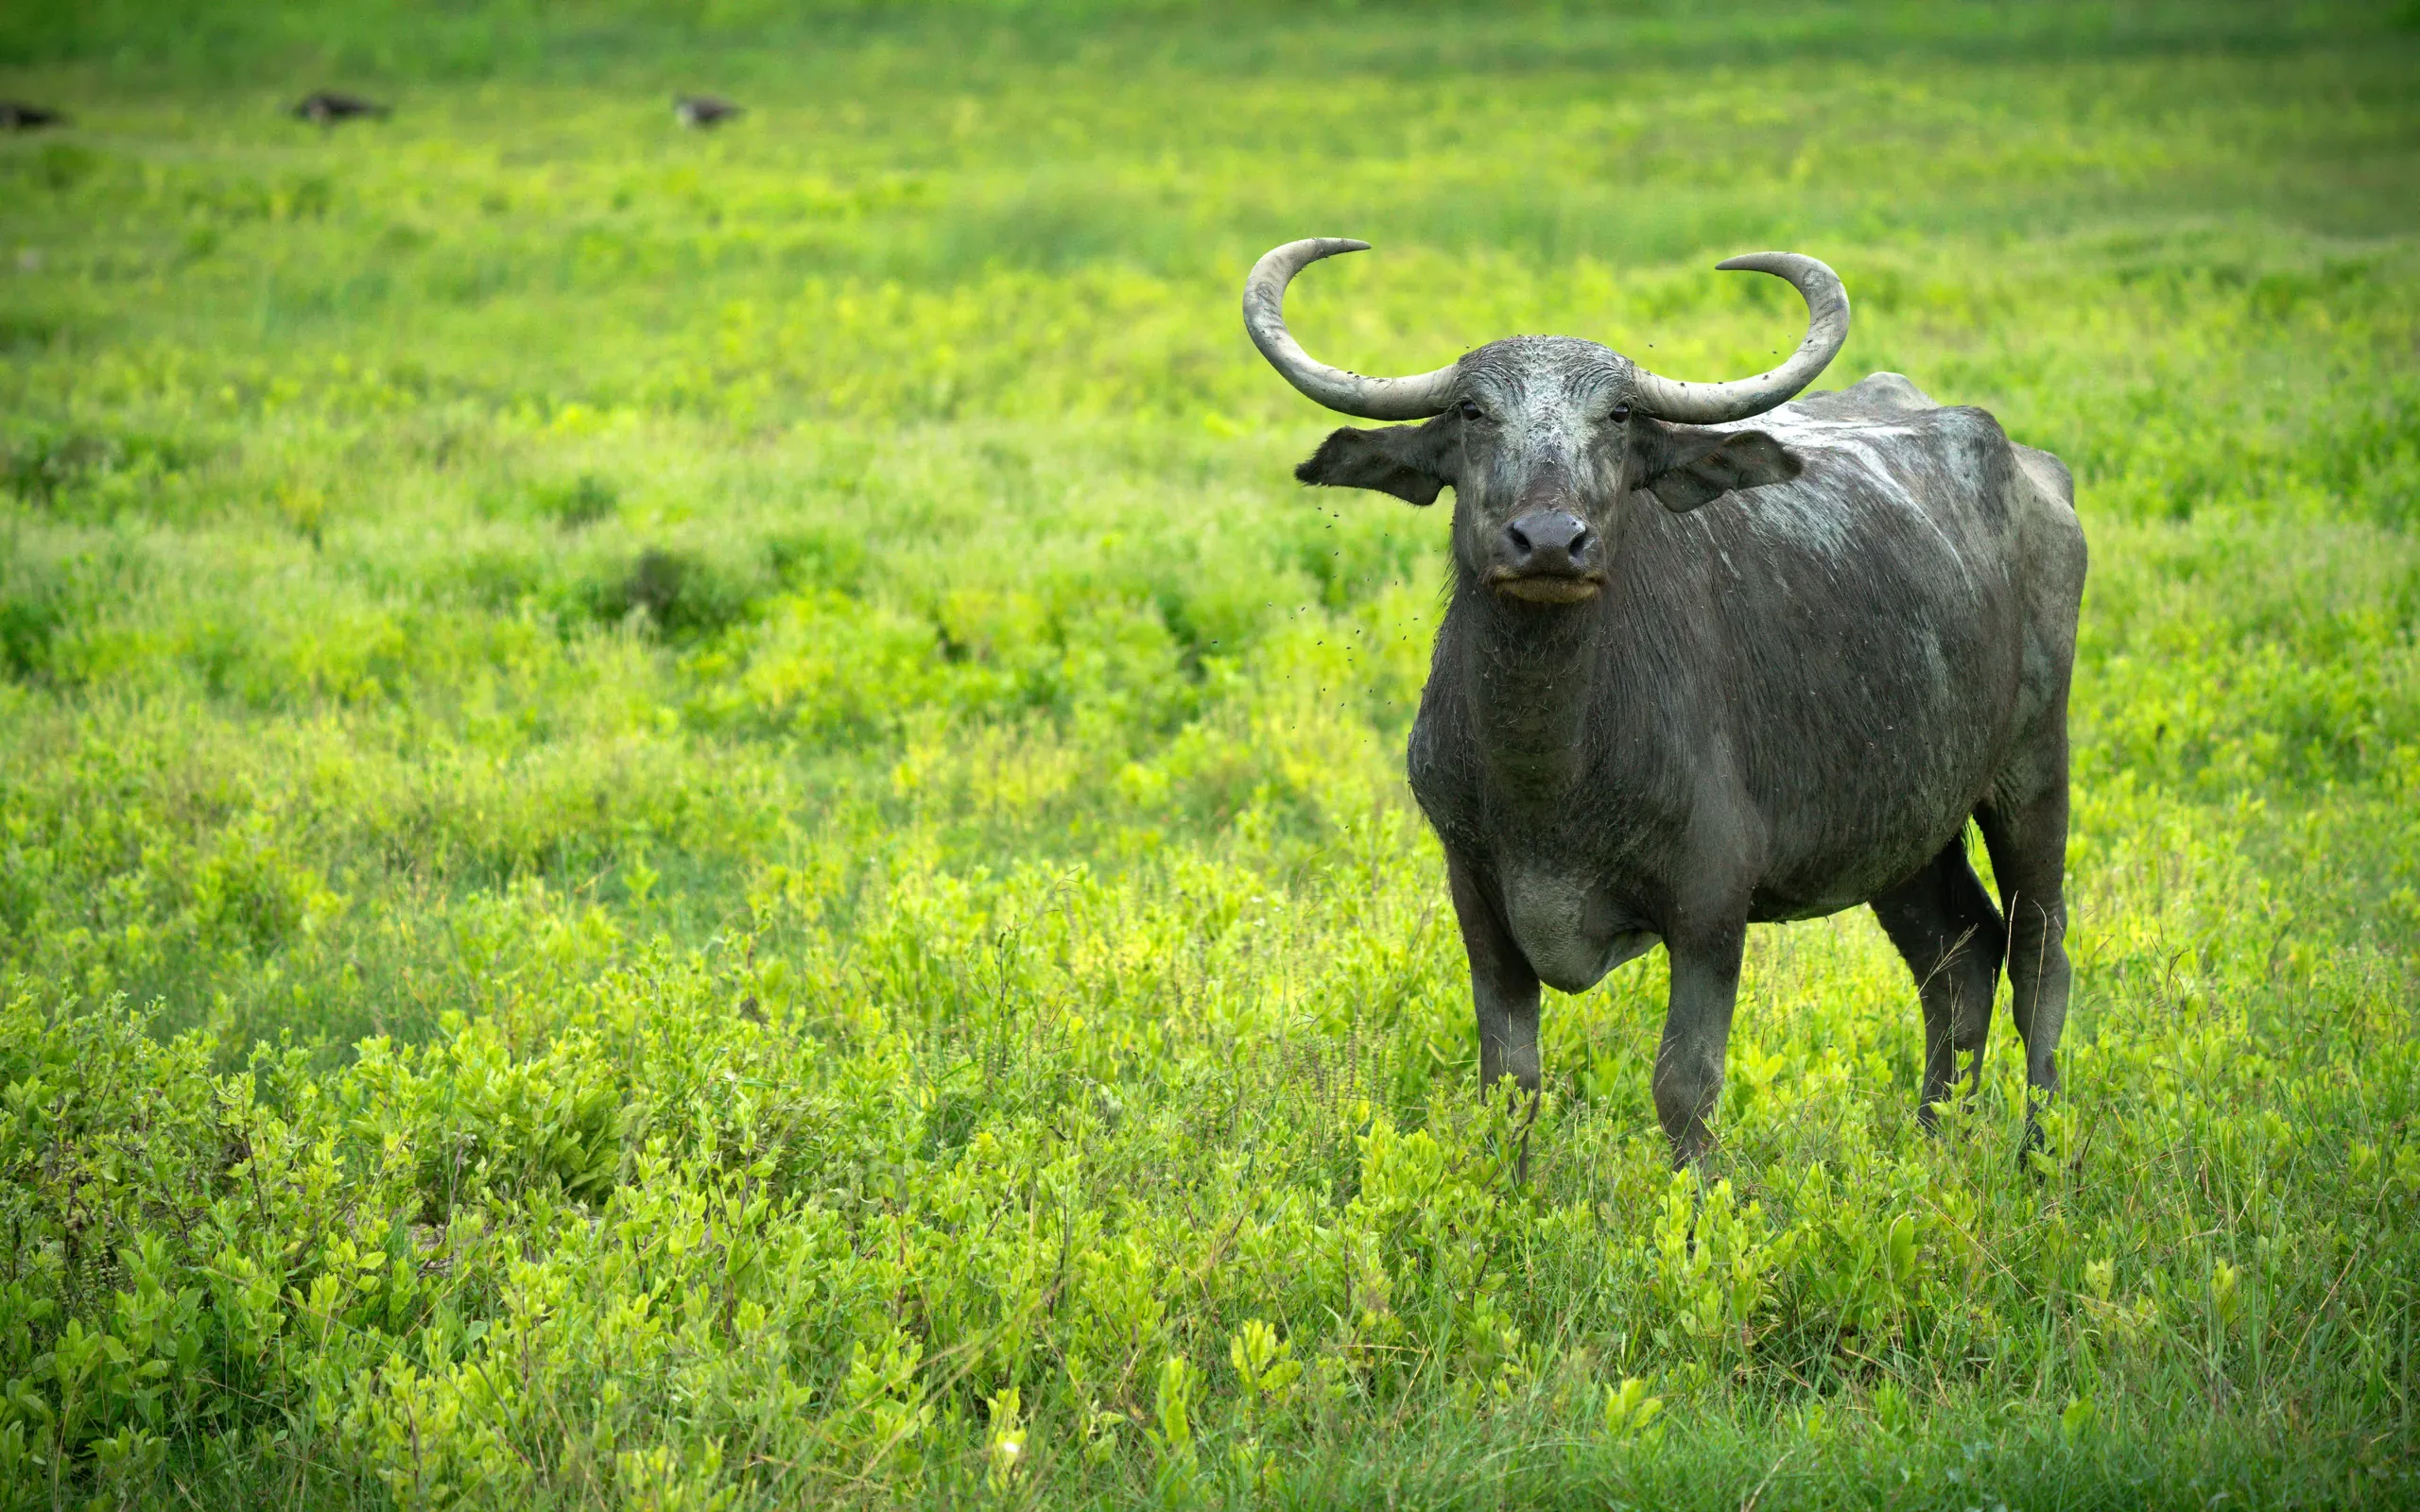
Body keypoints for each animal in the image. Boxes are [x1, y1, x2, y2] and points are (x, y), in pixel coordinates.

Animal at [1242, 239, 2085, 1163]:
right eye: (1470, 410)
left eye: (1617, 416)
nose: (1549, 541)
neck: (1551, 772)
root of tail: (2038, 475)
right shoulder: (1476, 893)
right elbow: (1510, 1083)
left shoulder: (1712, 903)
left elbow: (1685, 1085)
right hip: (1903, 830)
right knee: (1959, 959)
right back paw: (1935, 1143)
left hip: (2033, 774)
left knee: (2039, 955)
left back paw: (2037, 1149)